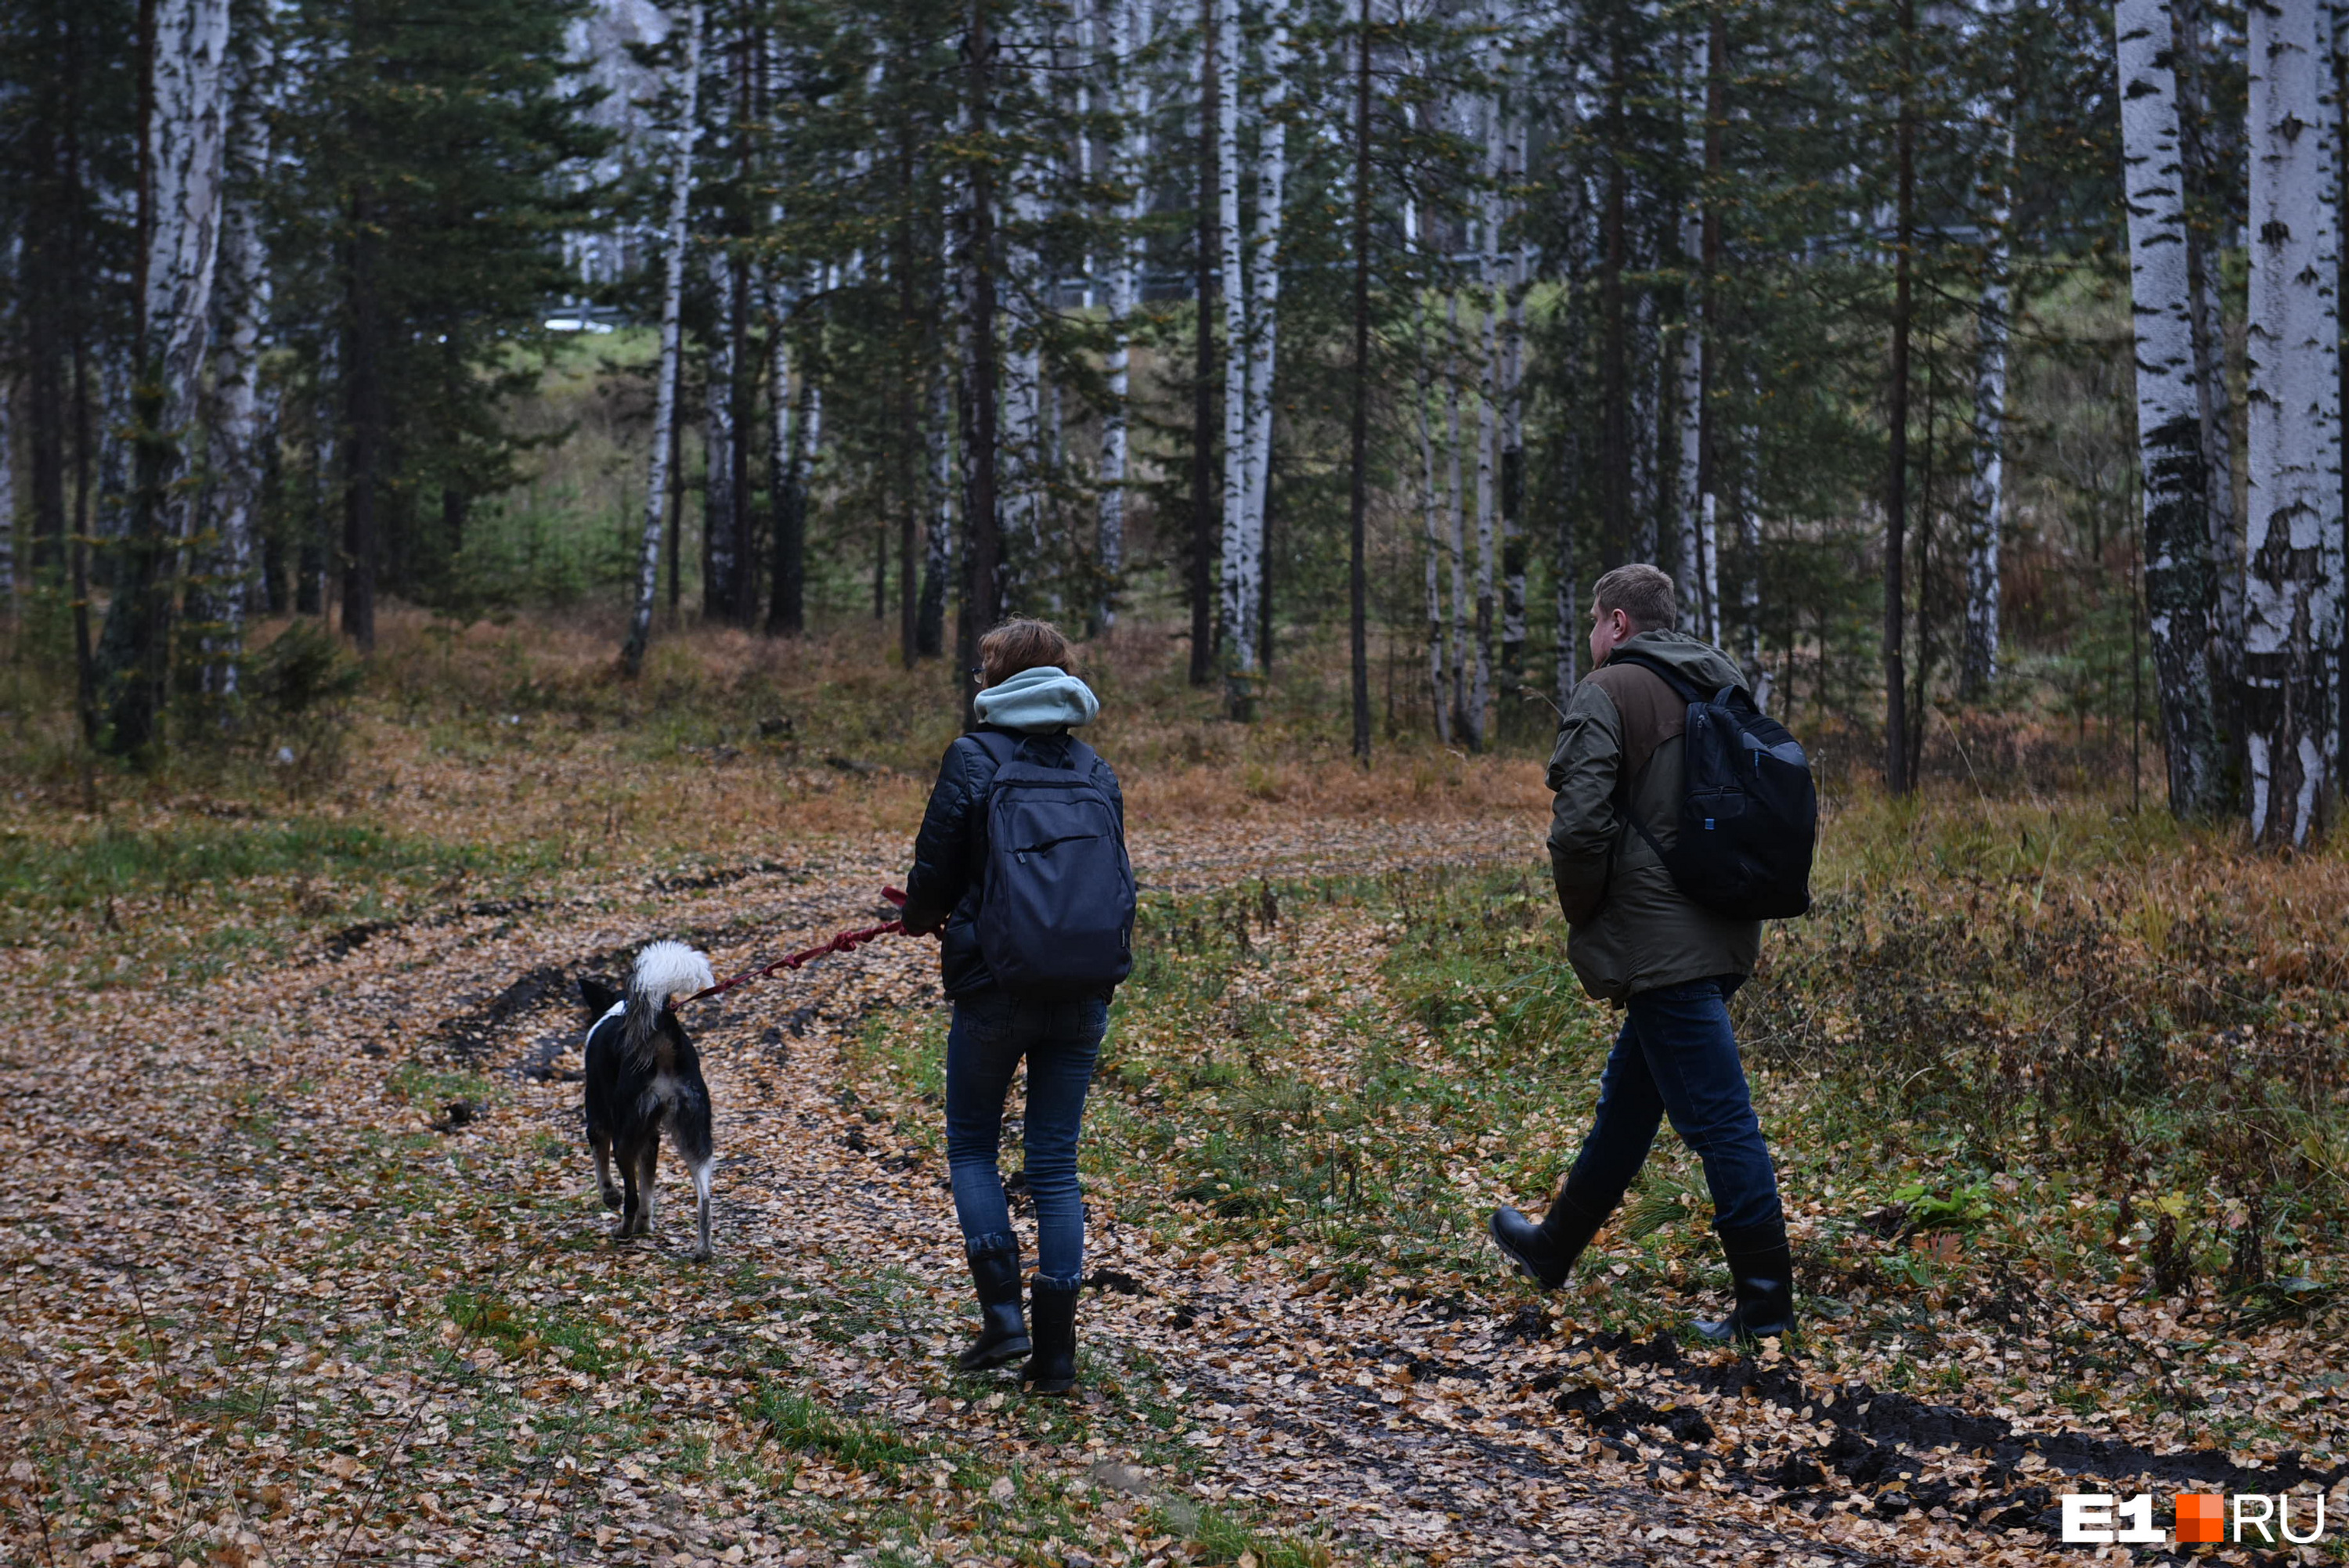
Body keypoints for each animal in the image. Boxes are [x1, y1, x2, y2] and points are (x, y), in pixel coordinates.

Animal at [578, 943, 714, 1258]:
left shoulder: (598, 1123)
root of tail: (661, 1029)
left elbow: (606, 1173)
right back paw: (702, 1250)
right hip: (694, 1132)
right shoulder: (651, 1138)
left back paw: (623, 1230)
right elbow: (649, 1187)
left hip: (625, 1138)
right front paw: (646, 1224)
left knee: (630, 1195)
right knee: (704, 1198)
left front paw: (610, 1197)